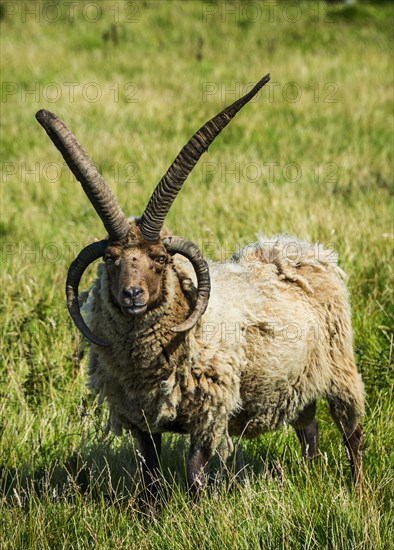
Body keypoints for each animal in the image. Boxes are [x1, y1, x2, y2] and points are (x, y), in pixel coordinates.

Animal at [35, 73, 364, 500]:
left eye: (160, 259)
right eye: (110, 258)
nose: (132, 295)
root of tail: (304, 250)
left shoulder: (211, 411)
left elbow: (194, 470)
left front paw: (195, 509)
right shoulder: (140, 417)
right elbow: (150, 474)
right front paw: (151, 512)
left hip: (339, 369)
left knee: (352, 432)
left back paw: (359, 491)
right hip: (294, 382)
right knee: (309, 430)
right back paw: (309, 478)